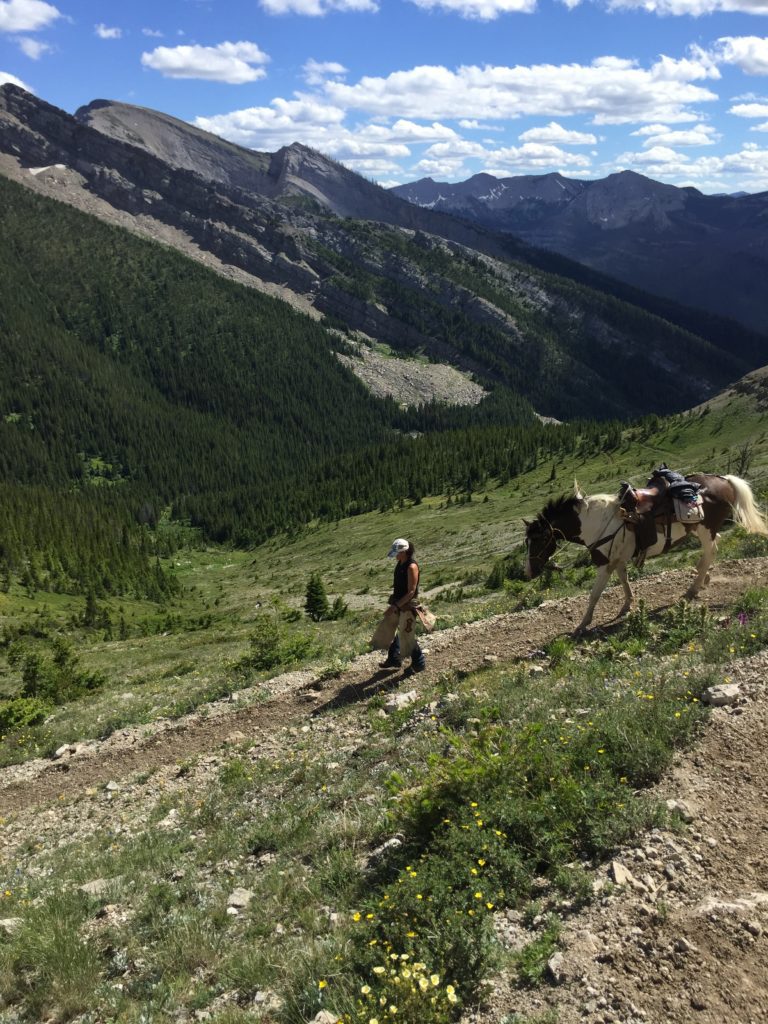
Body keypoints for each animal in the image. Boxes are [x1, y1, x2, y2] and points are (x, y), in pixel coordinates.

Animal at [528, 473, 765, 630]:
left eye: (540, 539)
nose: (529, 572)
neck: (596, 522)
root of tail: (723, 480)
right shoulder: (617, 559)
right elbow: (624, 581)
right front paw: (626, 606)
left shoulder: (605, 563)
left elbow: (594, 594)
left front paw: (582, 625)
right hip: (701, 530)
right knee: (712, 550)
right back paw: (702, 579)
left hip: (706, 529)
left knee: (710, 552)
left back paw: (692, 589)